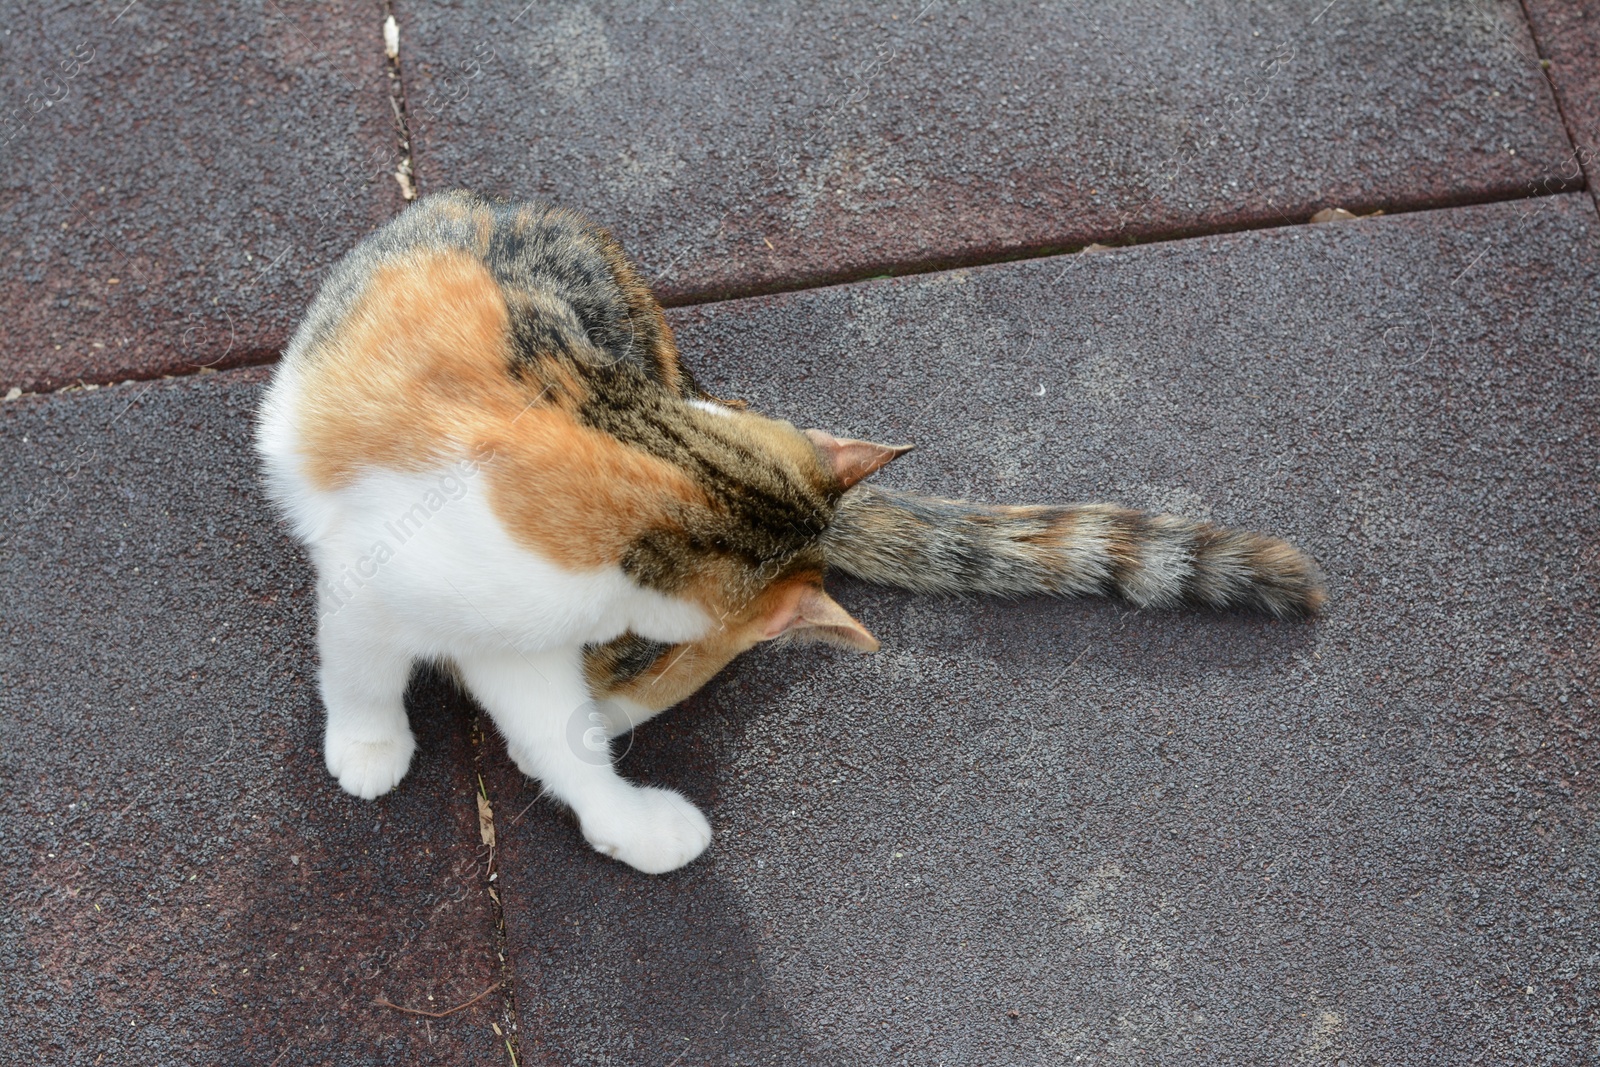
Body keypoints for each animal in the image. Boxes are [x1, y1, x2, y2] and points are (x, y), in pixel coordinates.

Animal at [252, 189, 1324, 876]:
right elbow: (361, 667)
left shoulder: (535, 646)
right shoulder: (376, 580)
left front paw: (628, 821)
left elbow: (561, 739)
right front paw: (369, 744)